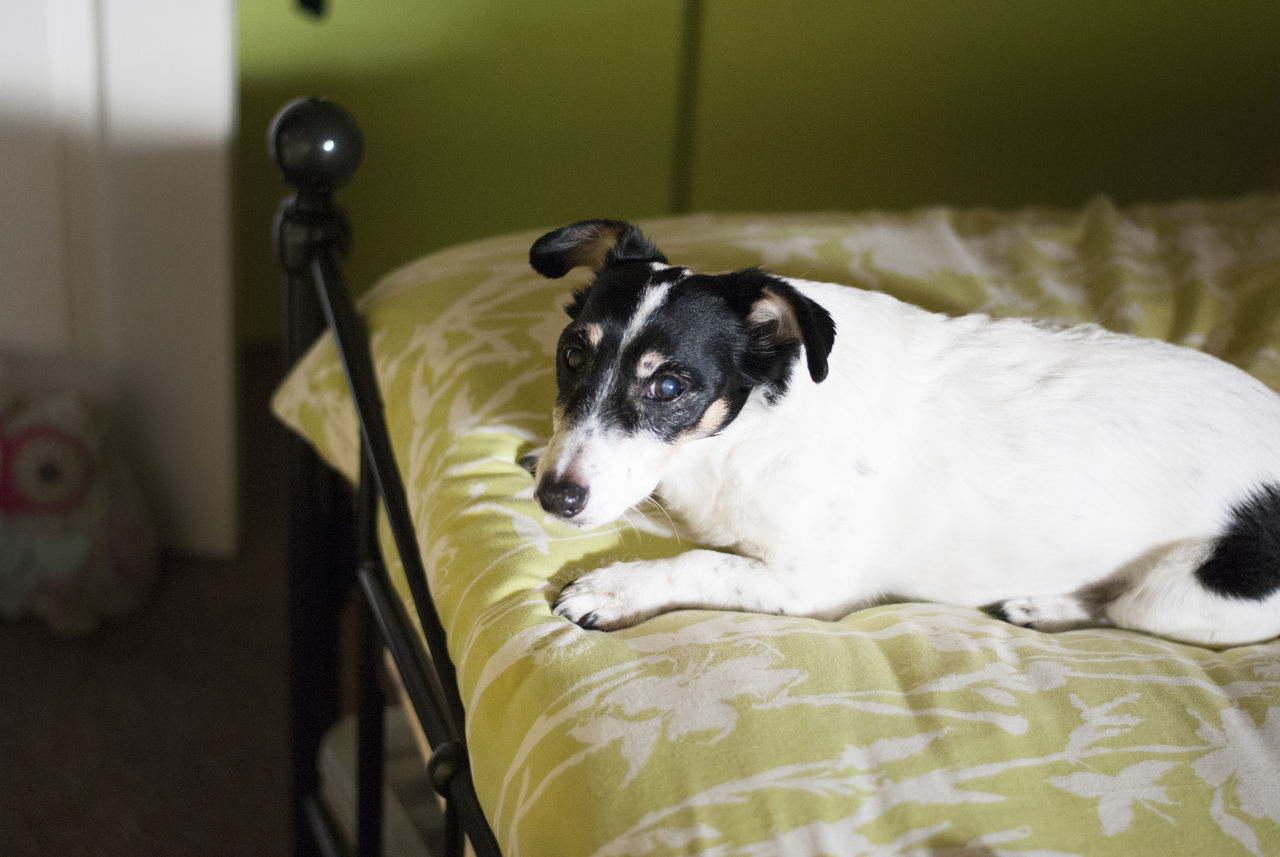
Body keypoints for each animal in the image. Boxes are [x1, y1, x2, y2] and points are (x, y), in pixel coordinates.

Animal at [522, 218, 1280, 647]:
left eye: (670, 387)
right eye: (573, 355)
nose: (555, 498)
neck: (753, 423)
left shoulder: (809, 585)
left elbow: (696, 562)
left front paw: (612, 590)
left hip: (1188, 595)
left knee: (1121, 610)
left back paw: (1050, 604)